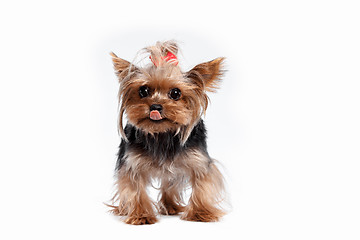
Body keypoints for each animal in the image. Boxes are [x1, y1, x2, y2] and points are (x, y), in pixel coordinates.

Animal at [109, 40, 226, 224]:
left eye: (175, 93)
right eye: (143, 91)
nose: (155, 106)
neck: (162, 134)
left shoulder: (198, 160)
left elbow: (202, 184)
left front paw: (200, 213)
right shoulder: (132, 163)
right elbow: (134, 187)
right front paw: (141, 215)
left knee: (169, 182)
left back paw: (171, 207)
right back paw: (124, 209)